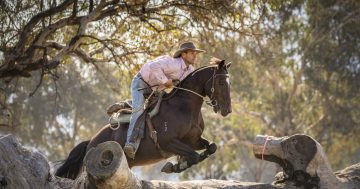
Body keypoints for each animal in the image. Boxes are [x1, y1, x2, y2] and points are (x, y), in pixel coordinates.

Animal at [54, 59, 232, 179]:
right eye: (221, 82)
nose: (227, 110)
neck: (183, 108)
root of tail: (91, 141)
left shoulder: (193, 140)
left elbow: (212, 147)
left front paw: (177, 164)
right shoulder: (169, 142)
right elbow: (193, 156)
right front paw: (175, 166)